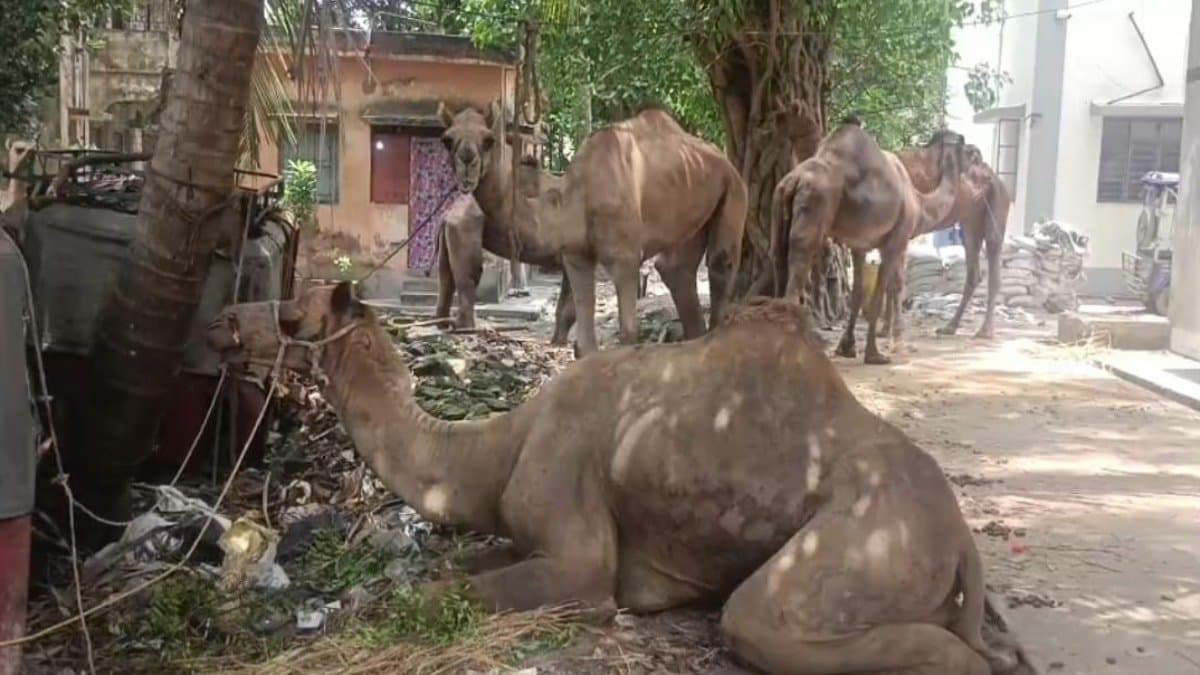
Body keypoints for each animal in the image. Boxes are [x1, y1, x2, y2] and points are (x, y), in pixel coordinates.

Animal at [208, 282, 1032, 675]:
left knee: (767, 622)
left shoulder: (580, 558)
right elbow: (451, 571)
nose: (220, 321)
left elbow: (451, 592)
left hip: (867, 542)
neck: (498, 445)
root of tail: (961, 536)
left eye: (293, 315)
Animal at [450, 104, 746, 356]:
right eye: (447, 139)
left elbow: (627, 332)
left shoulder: (624, 256)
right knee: (675, 268)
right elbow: (581, 339)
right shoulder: (575, 254)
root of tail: (721, 157)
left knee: (721, 261)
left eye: (488, 140)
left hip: (734, 185)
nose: (467, 162)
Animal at [771, 121, 964, 365]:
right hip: (816, 202)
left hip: (779, 204)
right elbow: (890, 289)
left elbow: (858, 293)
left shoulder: (860, 245)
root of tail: (795, 180)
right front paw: (884, 351)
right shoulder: (896, 240)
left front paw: (847, 347)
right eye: (971, 153)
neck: (919, 203)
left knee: (778, 257)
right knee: (800, 259)